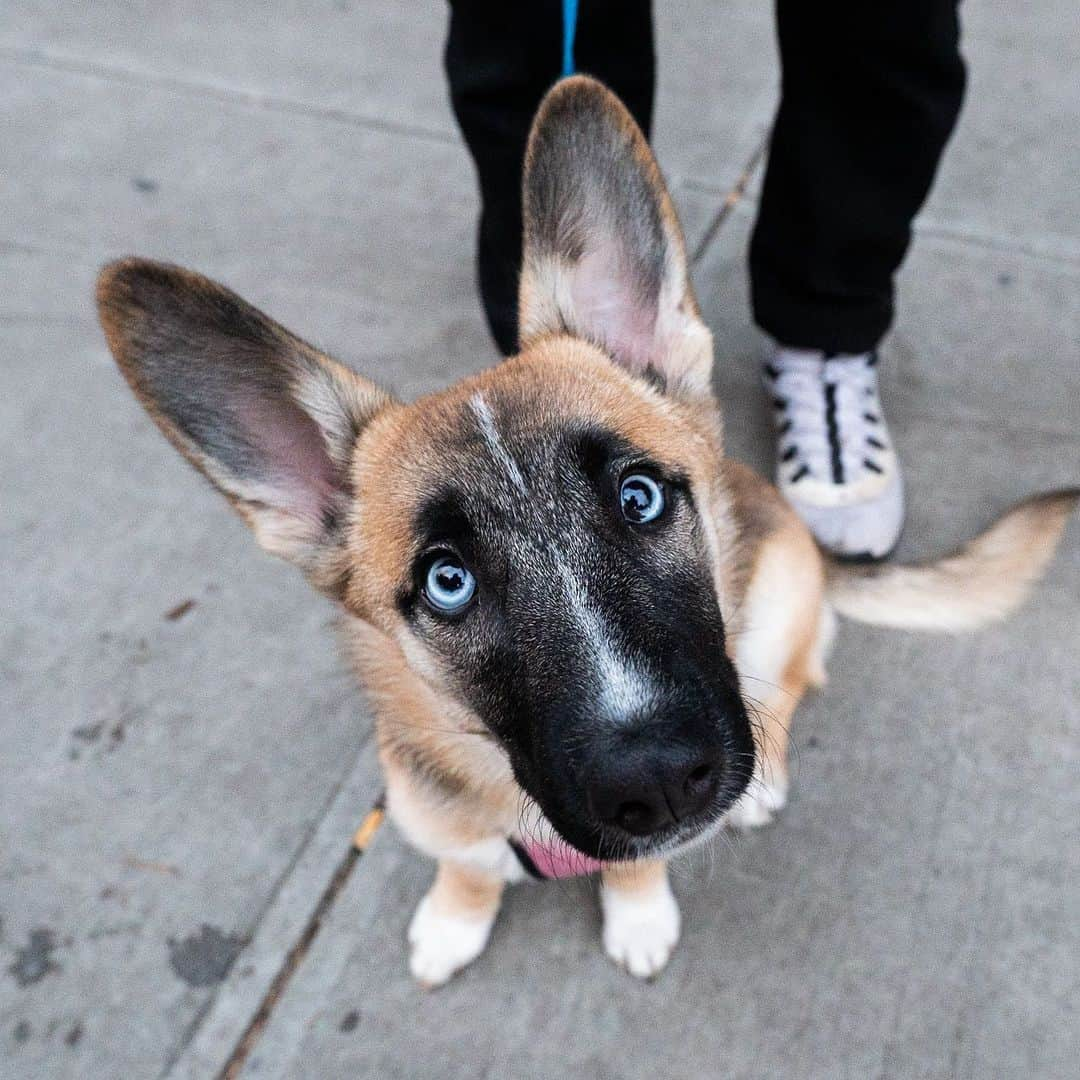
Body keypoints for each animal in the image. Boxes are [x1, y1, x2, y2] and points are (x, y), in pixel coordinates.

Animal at [97, 76, 1075, 989]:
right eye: (446, 581)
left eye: (639, 497)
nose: (659, 780)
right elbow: (466, 866)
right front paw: (456, 918)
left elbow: (642, 865)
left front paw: (636, 915)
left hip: (779, 608)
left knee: (796, 680)